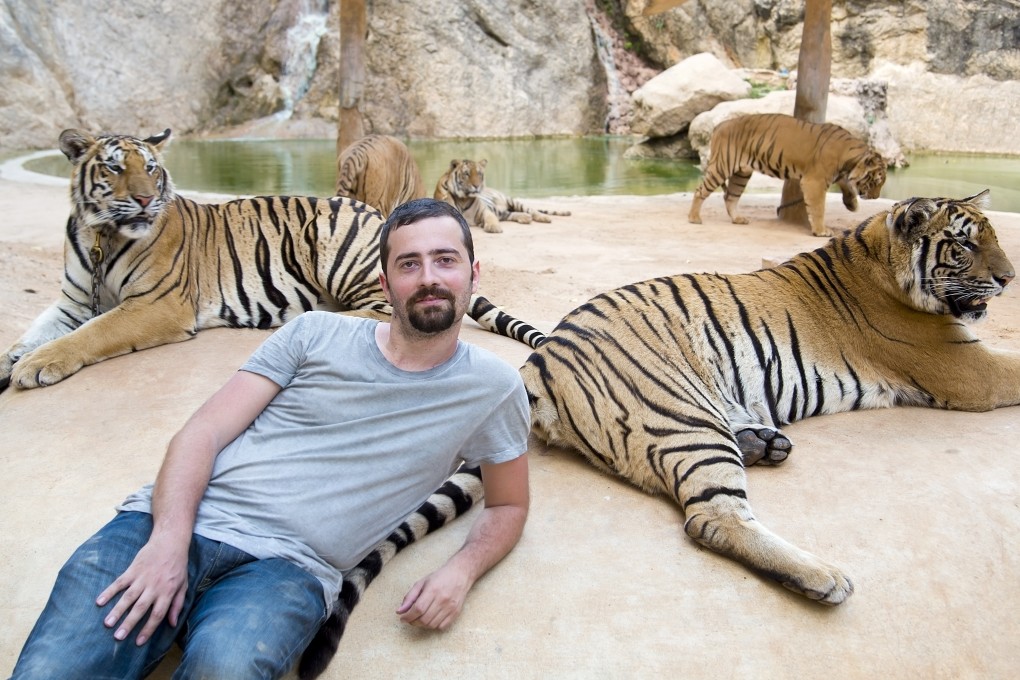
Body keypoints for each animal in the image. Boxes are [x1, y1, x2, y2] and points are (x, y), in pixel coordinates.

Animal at [0, 128, 542, 392]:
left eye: (151, 168)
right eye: (114, 168)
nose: (144, 200)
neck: (103, 235)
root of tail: (378, 213)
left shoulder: (157, 304)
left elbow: (92, 333)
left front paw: (36, 365)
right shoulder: (72, 300)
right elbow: (36, 331)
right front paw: (17, 357)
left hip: (335, 246)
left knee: (380, 313)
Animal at [434, 158, 570, 235]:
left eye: (479, 173)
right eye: (466, 174)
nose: (477, 186)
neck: (464, 198)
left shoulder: (485, 210)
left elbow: (490, 218)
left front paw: (493, 227)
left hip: (512, 201)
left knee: (532, 210)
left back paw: (544, 218)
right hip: (503, 211)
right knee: (510, 214)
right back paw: (525, 218)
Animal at [512, 191, 1016, 605]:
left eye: (993, 238)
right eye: (965, 245)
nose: (1009, 279)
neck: (880, 260)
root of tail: (541, 357)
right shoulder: (971, 370)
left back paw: (764, 444)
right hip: (684, 415)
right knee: (712, 518)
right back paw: (823, 577)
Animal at [688, 112, 888, 237]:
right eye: (876, 181)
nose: (876, 197)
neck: (851, 160)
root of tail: (719, 125)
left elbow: (847, 186)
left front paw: (852, 204)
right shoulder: (814, 181)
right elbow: (818, 208)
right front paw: (821, 230)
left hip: (741, 174)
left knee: (730, 197)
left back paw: (738, 219)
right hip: (722, 166)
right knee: (700, 191)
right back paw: (694, 218)